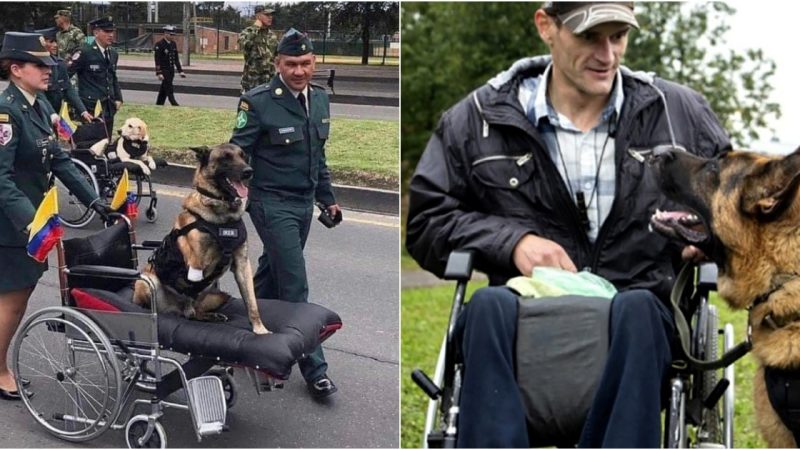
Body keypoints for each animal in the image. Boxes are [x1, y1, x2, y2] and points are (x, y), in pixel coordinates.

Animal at [131, 143, 268, 334]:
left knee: (194, 311)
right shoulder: (196, 263)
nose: (249, 171)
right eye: (225, 158)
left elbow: (252, 302)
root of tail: (174, 309)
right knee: (180, 310)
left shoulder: (242, 265)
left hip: (219, 295)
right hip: (147, 282)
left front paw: (259, 328)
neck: (223, 216)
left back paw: (211, 316)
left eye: (243, 156)